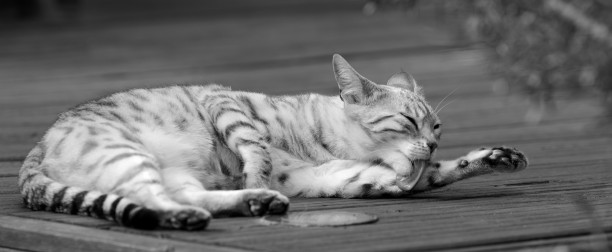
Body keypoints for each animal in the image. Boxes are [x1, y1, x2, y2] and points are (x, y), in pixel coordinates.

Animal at [17, 53, 524, 230]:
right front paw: (256, 171)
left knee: (182, 195)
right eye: (407, 121)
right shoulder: (223, 101)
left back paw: (254, 202)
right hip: (128, 154)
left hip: (171, 173)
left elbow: (428, 178)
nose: (433, 145)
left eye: (437, 129)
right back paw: (210, 210)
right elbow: (255, 143)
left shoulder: (336, 178)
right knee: (152, 200)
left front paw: (496, 158)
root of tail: (32, 154)